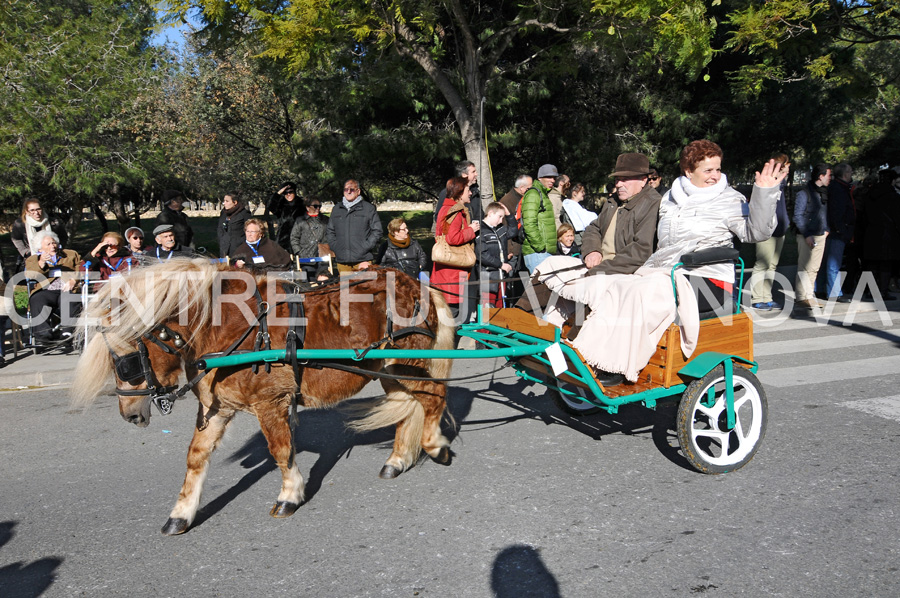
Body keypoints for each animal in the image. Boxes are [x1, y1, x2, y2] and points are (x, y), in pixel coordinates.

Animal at [72, 260, 458, 536]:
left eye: (125, 361)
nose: (130, 415)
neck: (221, 326)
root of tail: (416, 283)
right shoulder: (217, 407)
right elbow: (196, 457)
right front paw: (180, 514)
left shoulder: (269, 403)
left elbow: (281, 450)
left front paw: (290, 495)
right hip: (388, 370)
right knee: (409, 409)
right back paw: (398, 459)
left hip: (406, 365)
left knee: (433, 399)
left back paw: (435, 446)